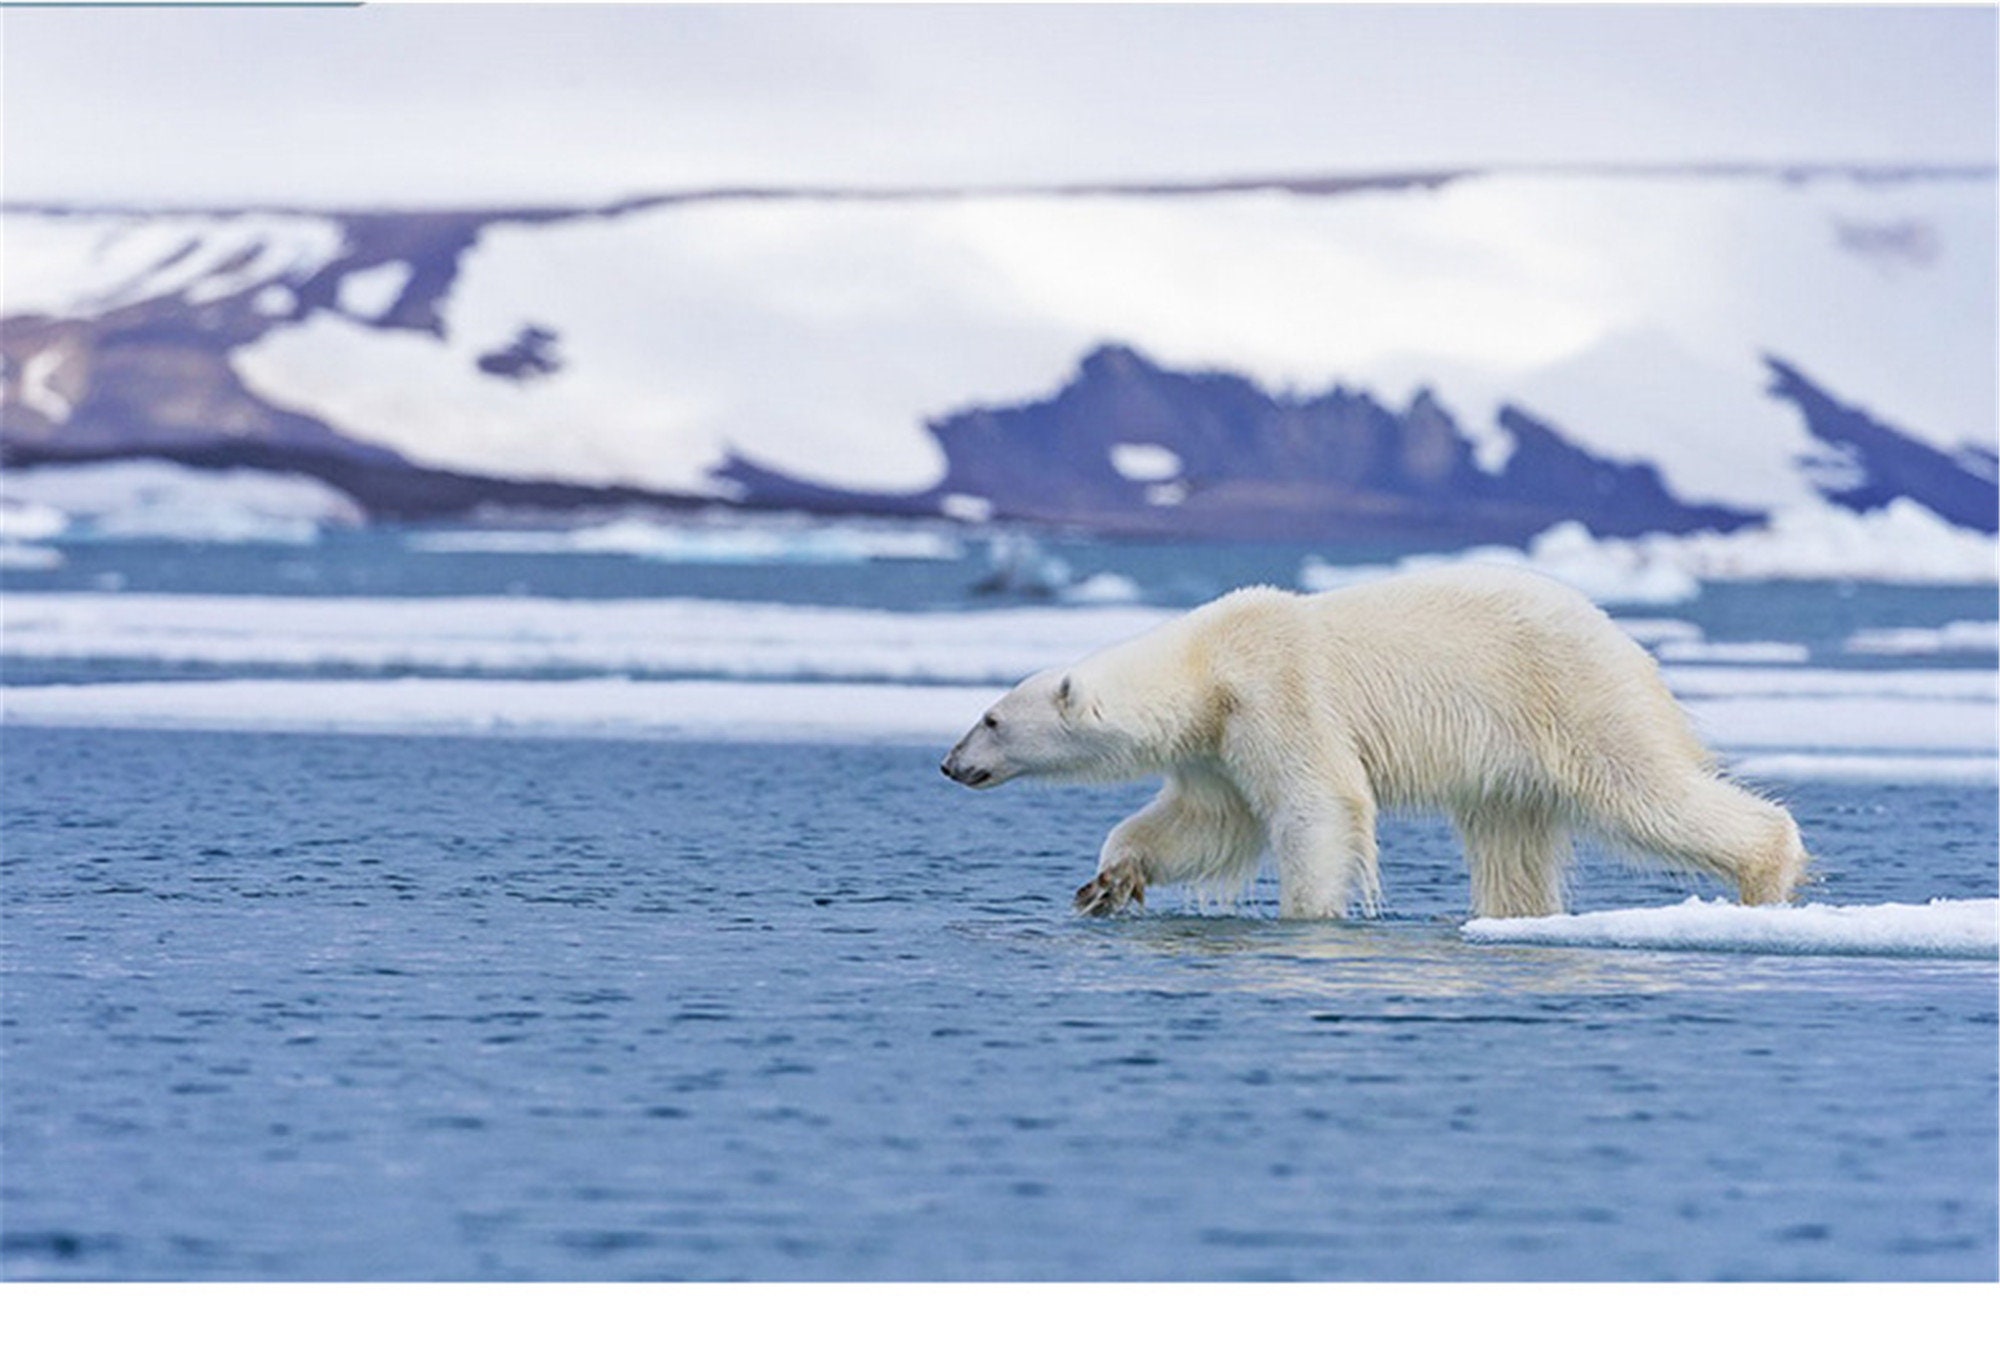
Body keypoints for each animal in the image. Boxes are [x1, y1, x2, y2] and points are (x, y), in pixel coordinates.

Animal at [940, 567, 1816, 919]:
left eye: (991, 717)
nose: (950, 763)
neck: (1210, 661)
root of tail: (1635, 649)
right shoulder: (1216, 745)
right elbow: (1204, 823)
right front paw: (1109, 881)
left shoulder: (1279, 694)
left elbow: (1316, 803)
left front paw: (1310, 913)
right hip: (1509, 761)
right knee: (1511, 841)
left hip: (1571, 697)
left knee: (1642, 790)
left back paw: (1767, 874)